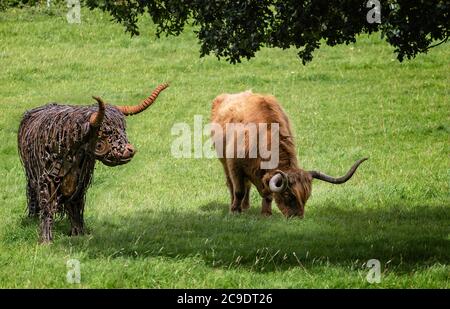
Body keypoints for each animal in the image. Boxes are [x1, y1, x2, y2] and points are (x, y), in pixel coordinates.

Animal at [17, 83, 169, 242]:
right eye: (104, 132)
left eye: (123, 128)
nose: (129, 150)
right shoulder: (47, 180)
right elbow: (48, 207)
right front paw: (46, 240)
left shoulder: (80, 182)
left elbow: (75, 206)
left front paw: (79, 233)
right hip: (30, 175)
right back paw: (32, 218)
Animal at [209, 89, 368, 217]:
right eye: (287, 194)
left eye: (307, 195)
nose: (297, 217)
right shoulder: (234, 165)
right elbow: (239, 190)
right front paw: (235, 211)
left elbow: (267, 194)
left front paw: (266, 213)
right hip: (223, 161)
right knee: (232, 184)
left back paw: (246, 206)